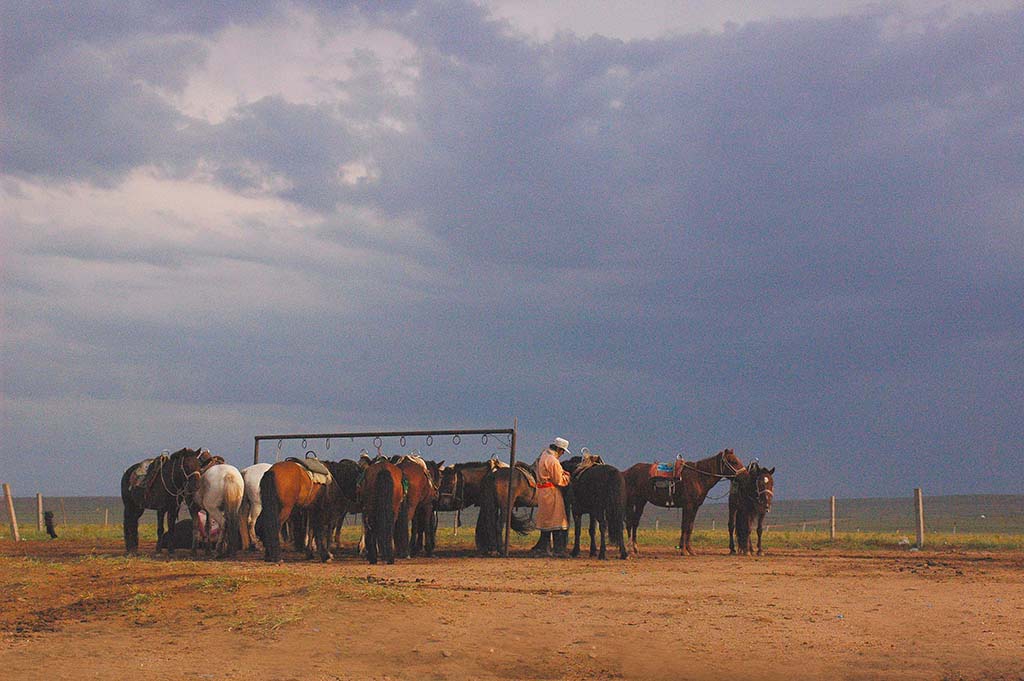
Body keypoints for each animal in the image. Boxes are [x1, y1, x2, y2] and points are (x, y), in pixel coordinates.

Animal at [618, 448, 749, 557]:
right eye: (733, 461)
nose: (746, 476)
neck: (698, 477)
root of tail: (626, 472)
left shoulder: (695, 507)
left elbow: (690, 526)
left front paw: (690, 550)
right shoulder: (688, 506)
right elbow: (685, 526)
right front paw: (683, 551)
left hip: (641, 502)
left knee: (635, 523)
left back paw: (635, 549)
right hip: (632, 502)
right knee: (629, 523)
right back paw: (630, 549)